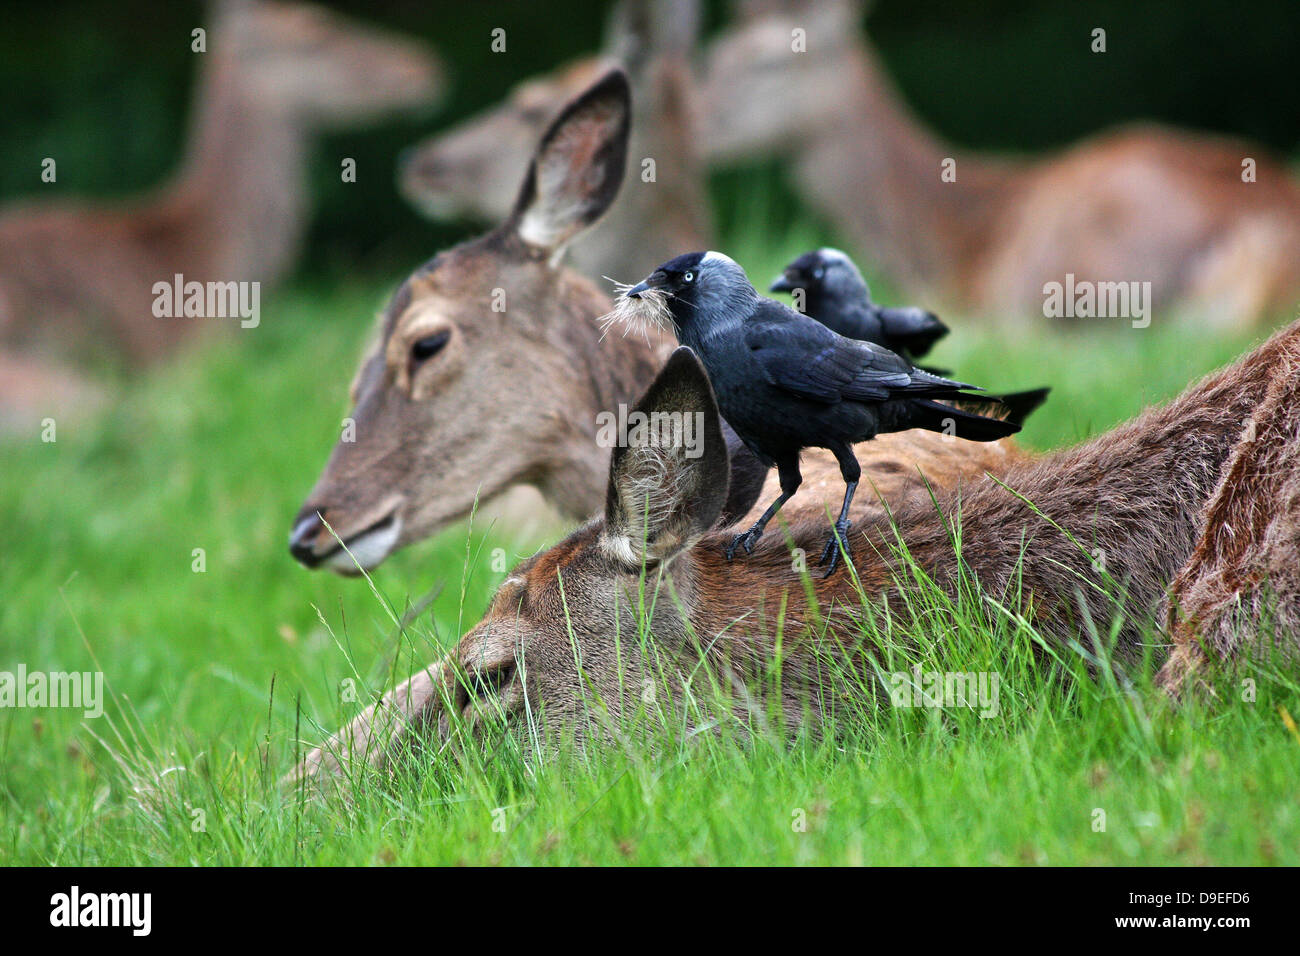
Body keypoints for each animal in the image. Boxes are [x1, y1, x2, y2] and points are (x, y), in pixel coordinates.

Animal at [289, 69, 1029, 574]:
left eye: (428, 344)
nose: (306, 532)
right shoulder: (775, 442)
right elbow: (780, 491)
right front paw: (749, 535)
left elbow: (840, 478)